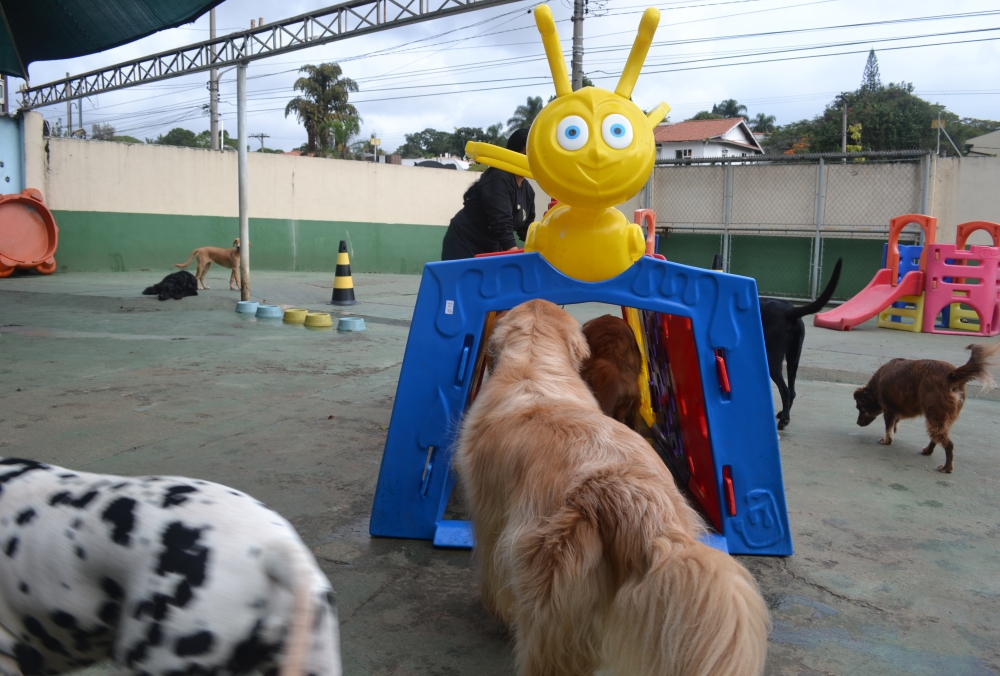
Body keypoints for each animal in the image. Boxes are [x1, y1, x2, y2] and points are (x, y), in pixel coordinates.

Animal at [458, 300, 768, 676]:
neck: (533, 364)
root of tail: (626, 495)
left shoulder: (489, 514)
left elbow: (491, 570)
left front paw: (496, 609)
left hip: (550, 597)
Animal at [760, 258, 840, 428]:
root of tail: (790, 312)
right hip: (793, 358)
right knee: (792, 391)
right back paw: (784, 415)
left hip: (772, 358)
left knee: (785, 391)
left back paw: (784, 420)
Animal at [852, 340, 1000, 472]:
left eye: (860, 408)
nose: (857, 423)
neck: (877, 384)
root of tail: (951, 375)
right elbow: (894, 423)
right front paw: (893, 431)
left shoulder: (888, 409)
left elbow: (888, 427)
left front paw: (887, 439)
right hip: (940, 417)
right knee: (937, 436)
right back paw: (928, 451)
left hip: (935, 414)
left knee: (948, 444)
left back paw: (947, 467)